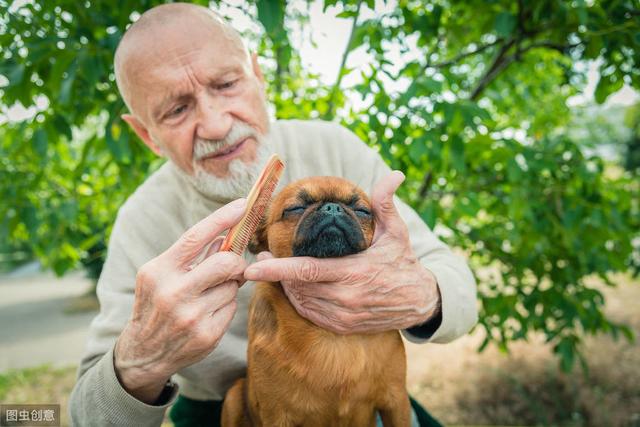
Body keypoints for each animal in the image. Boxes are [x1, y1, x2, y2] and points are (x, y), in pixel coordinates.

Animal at [220, 176, 410, 427]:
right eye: (295, 208)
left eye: (362, 211)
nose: (332, 208)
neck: (332, 337)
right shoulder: (276, 415)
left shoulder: (396, 402)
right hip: (233, 397)